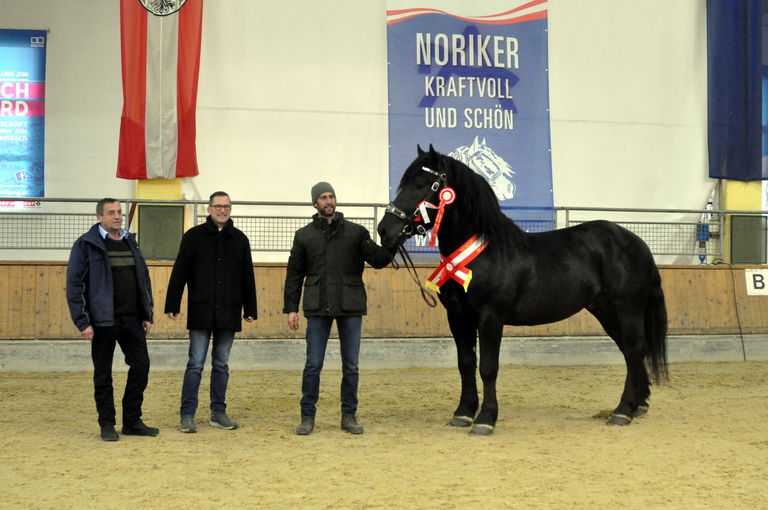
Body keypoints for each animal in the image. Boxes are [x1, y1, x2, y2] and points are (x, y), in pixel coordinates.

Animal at [378, 146, 664, 434]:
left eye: (423, 184)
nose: (384, 230)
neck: (484, 254)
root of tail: (636, 242)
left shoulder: (490, 317)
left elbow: (488, 367)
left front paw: (485, 420)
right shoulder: (458, 317)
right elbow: (466, 363)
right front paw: (463, 413)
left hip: (627, 308)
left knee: (634, 349)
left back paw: (622, 411)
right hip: (605, 311)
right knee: (630, 352)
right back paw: (638, 405)